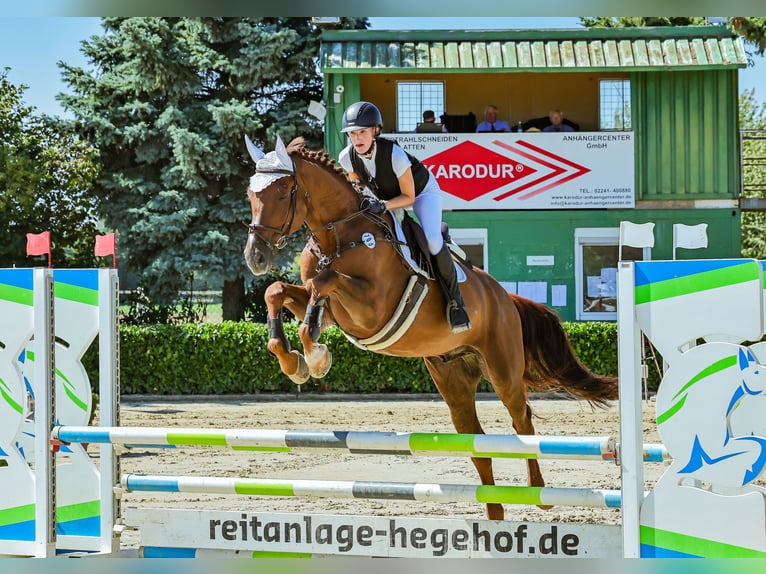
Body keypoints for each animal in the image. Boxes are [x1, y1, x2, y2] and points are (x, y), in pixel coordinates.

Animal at [243, 136, 618, 520]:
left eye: (283, 191)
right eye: (250, 193)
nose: (255, 257)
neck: (339, 236)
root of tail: (505, 297)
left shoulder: (371, 307)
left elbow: (324, 282)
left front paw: (316, 358)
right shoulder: (328, 307)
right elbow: (279, 292)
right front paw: (294, 362)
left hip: (503, 369)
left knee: (522, 420)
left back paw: (538, 491)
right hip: (452, 376)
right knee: (474, 436)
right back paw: (494, 512)